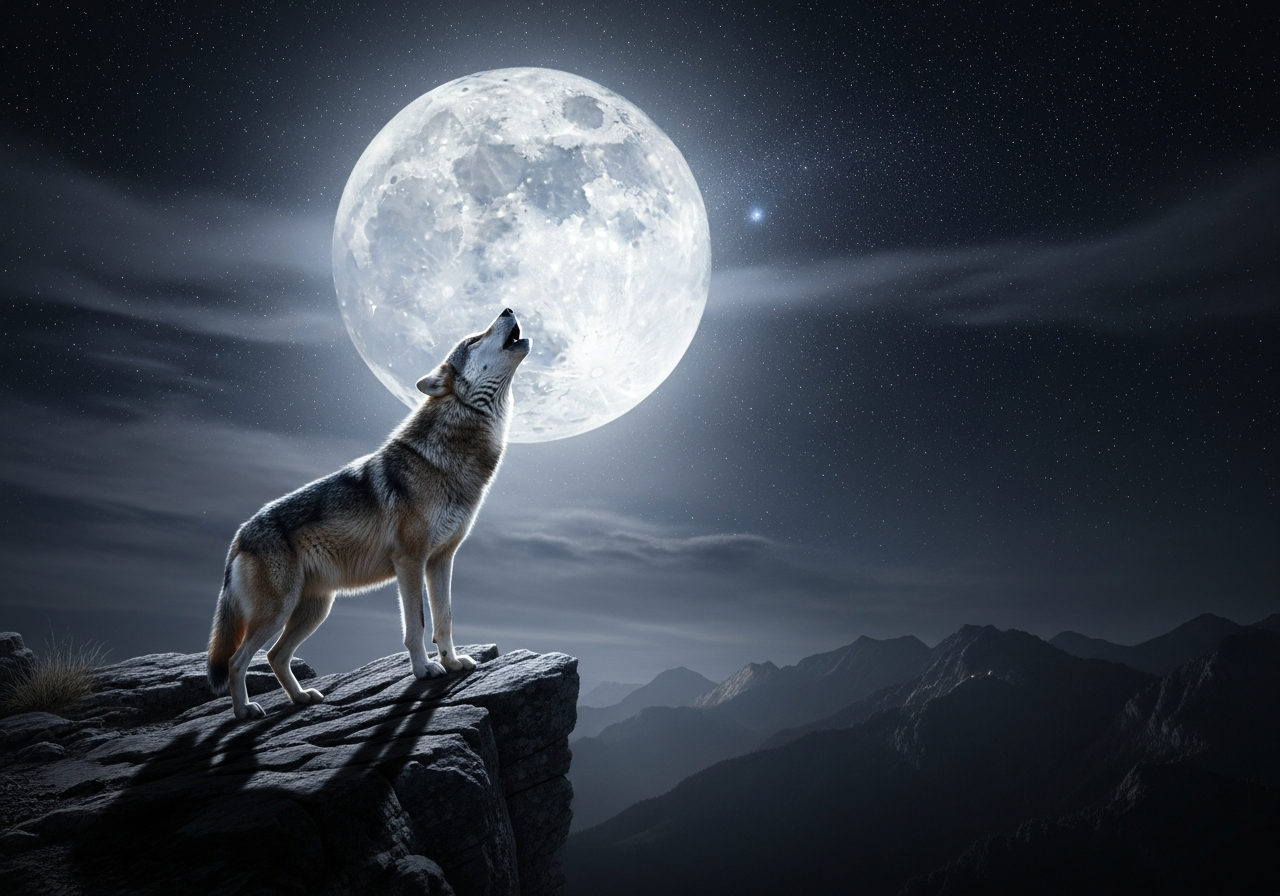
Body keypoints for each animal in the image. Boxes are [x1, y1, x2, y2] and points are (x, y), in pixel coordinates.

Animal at [206, 308, 530, 719]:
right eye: (474, 340)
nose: (507, 309)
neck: (450, 457)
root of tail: (239, 536)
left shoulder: (441, 559)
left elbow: (444, 619)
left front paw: (452, 662)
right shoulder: (410, 561)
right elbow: (417, 625)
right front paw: (425, 669)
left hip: (314, 610)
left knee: (275, 656)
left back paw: (302, 698)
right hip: (278, 612)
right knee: (238, 660)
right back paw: (245, 711)